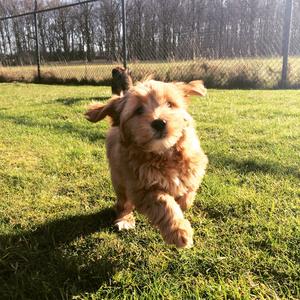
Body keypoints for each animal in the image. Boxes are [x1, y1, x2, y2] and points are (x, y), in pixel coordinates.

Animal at [86, 79, 209, 248]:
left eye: (170, 104)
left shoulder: (195, 166)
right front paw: (179, 231)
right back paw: (124, 219)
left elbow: (188, 191)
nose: (159, 123)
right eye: (138, 110)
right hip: (119, 180)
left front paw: (182, 204)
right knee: (123, 203)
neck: (163, 154)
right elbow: (164, 203)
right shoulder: (141, 188)